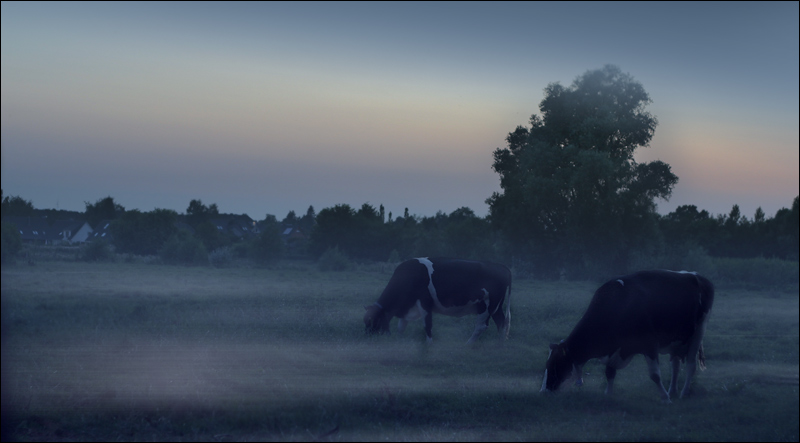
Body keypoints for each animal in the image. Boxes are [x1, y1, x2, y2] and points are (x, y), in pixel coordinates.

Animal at [364, 258, 512, 346]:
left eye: (374, 321)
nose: (368, 338)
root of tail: (501, 266)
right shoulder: (407, 308)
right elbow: (401, 326)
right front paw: (399, 340)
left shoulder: (425, 303)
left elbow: (427, 325)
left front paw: (429, 344)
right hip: (497, 307)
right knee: (501, 322)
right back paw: (500, 344)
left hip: (487, 305)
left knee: (482, 326)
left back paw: (468, 344)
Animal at [540, 268, 716, 404]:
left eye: (555, 364)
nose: (544, 392)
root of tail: (697, 276)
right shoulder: (614, 347)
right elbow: (609, 372)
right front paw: (608, 395)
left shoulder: (649, 344)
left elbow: (655, 375)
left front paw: (665, 398)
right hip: (676, 341)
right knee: (675, 365)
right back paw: (672, 390)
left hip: (698, 332)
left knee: (691, 366)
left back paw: (682, 393)